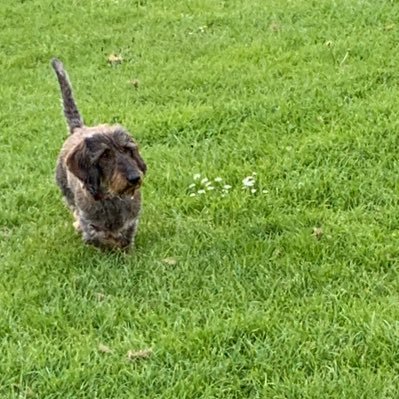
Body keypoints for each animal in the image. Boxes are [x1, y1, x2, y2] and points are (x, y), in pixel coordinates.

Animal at [51, 57, 147, 250]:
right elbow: (97, 236)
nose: (135, 178)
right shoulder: (90, 223)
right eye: (105, 155)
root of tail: (78, 128)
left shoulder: (131, 221)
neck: (112, 197)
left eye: (128, 150)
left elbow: (126, 237)